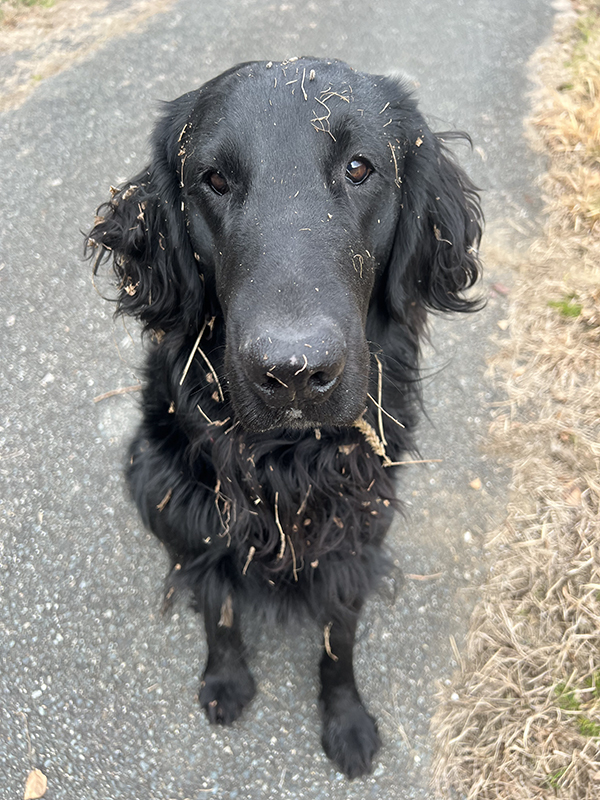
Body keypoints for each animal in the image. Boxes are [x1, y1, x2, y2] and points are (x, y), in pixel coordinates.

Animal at [84, 57, 480, 780]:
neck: (289, 459)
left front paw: (346, 717)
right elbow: (219, 607)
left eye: (359, 168)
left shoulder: (355, 534)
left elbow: (338, 640)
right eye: (214, 179)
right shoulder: (202, 519)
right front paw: (225, 679)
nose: (294, 372)